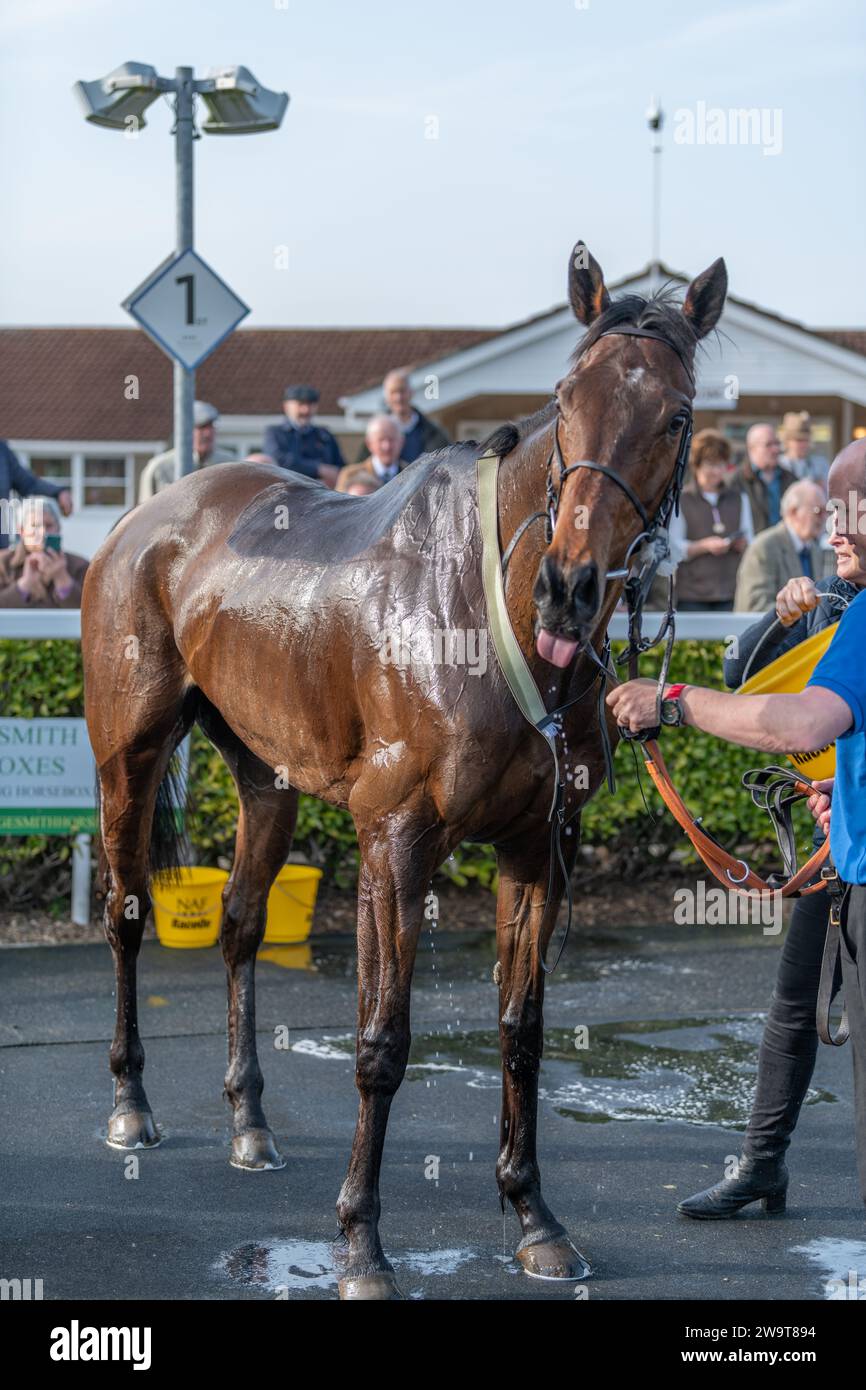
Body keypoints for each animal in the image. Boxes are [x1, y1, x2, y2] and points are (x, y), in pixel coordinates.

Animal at [84, 244, 728, 1295]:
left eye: (675, 415)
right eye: (566, 396)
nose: (572, 585)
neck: (485, 605)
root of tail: (148, 516)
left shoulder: (538, 845)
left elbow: (521, 1028)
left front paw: (533, 1216)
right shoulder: (397, 839)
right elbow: (382, 1042)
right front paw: (360, 1241)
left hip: (267, 775)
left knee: (239, 925)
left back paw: (250, 1120)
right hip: (127, 753)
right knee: (128, 914)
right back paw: (132, 1104)